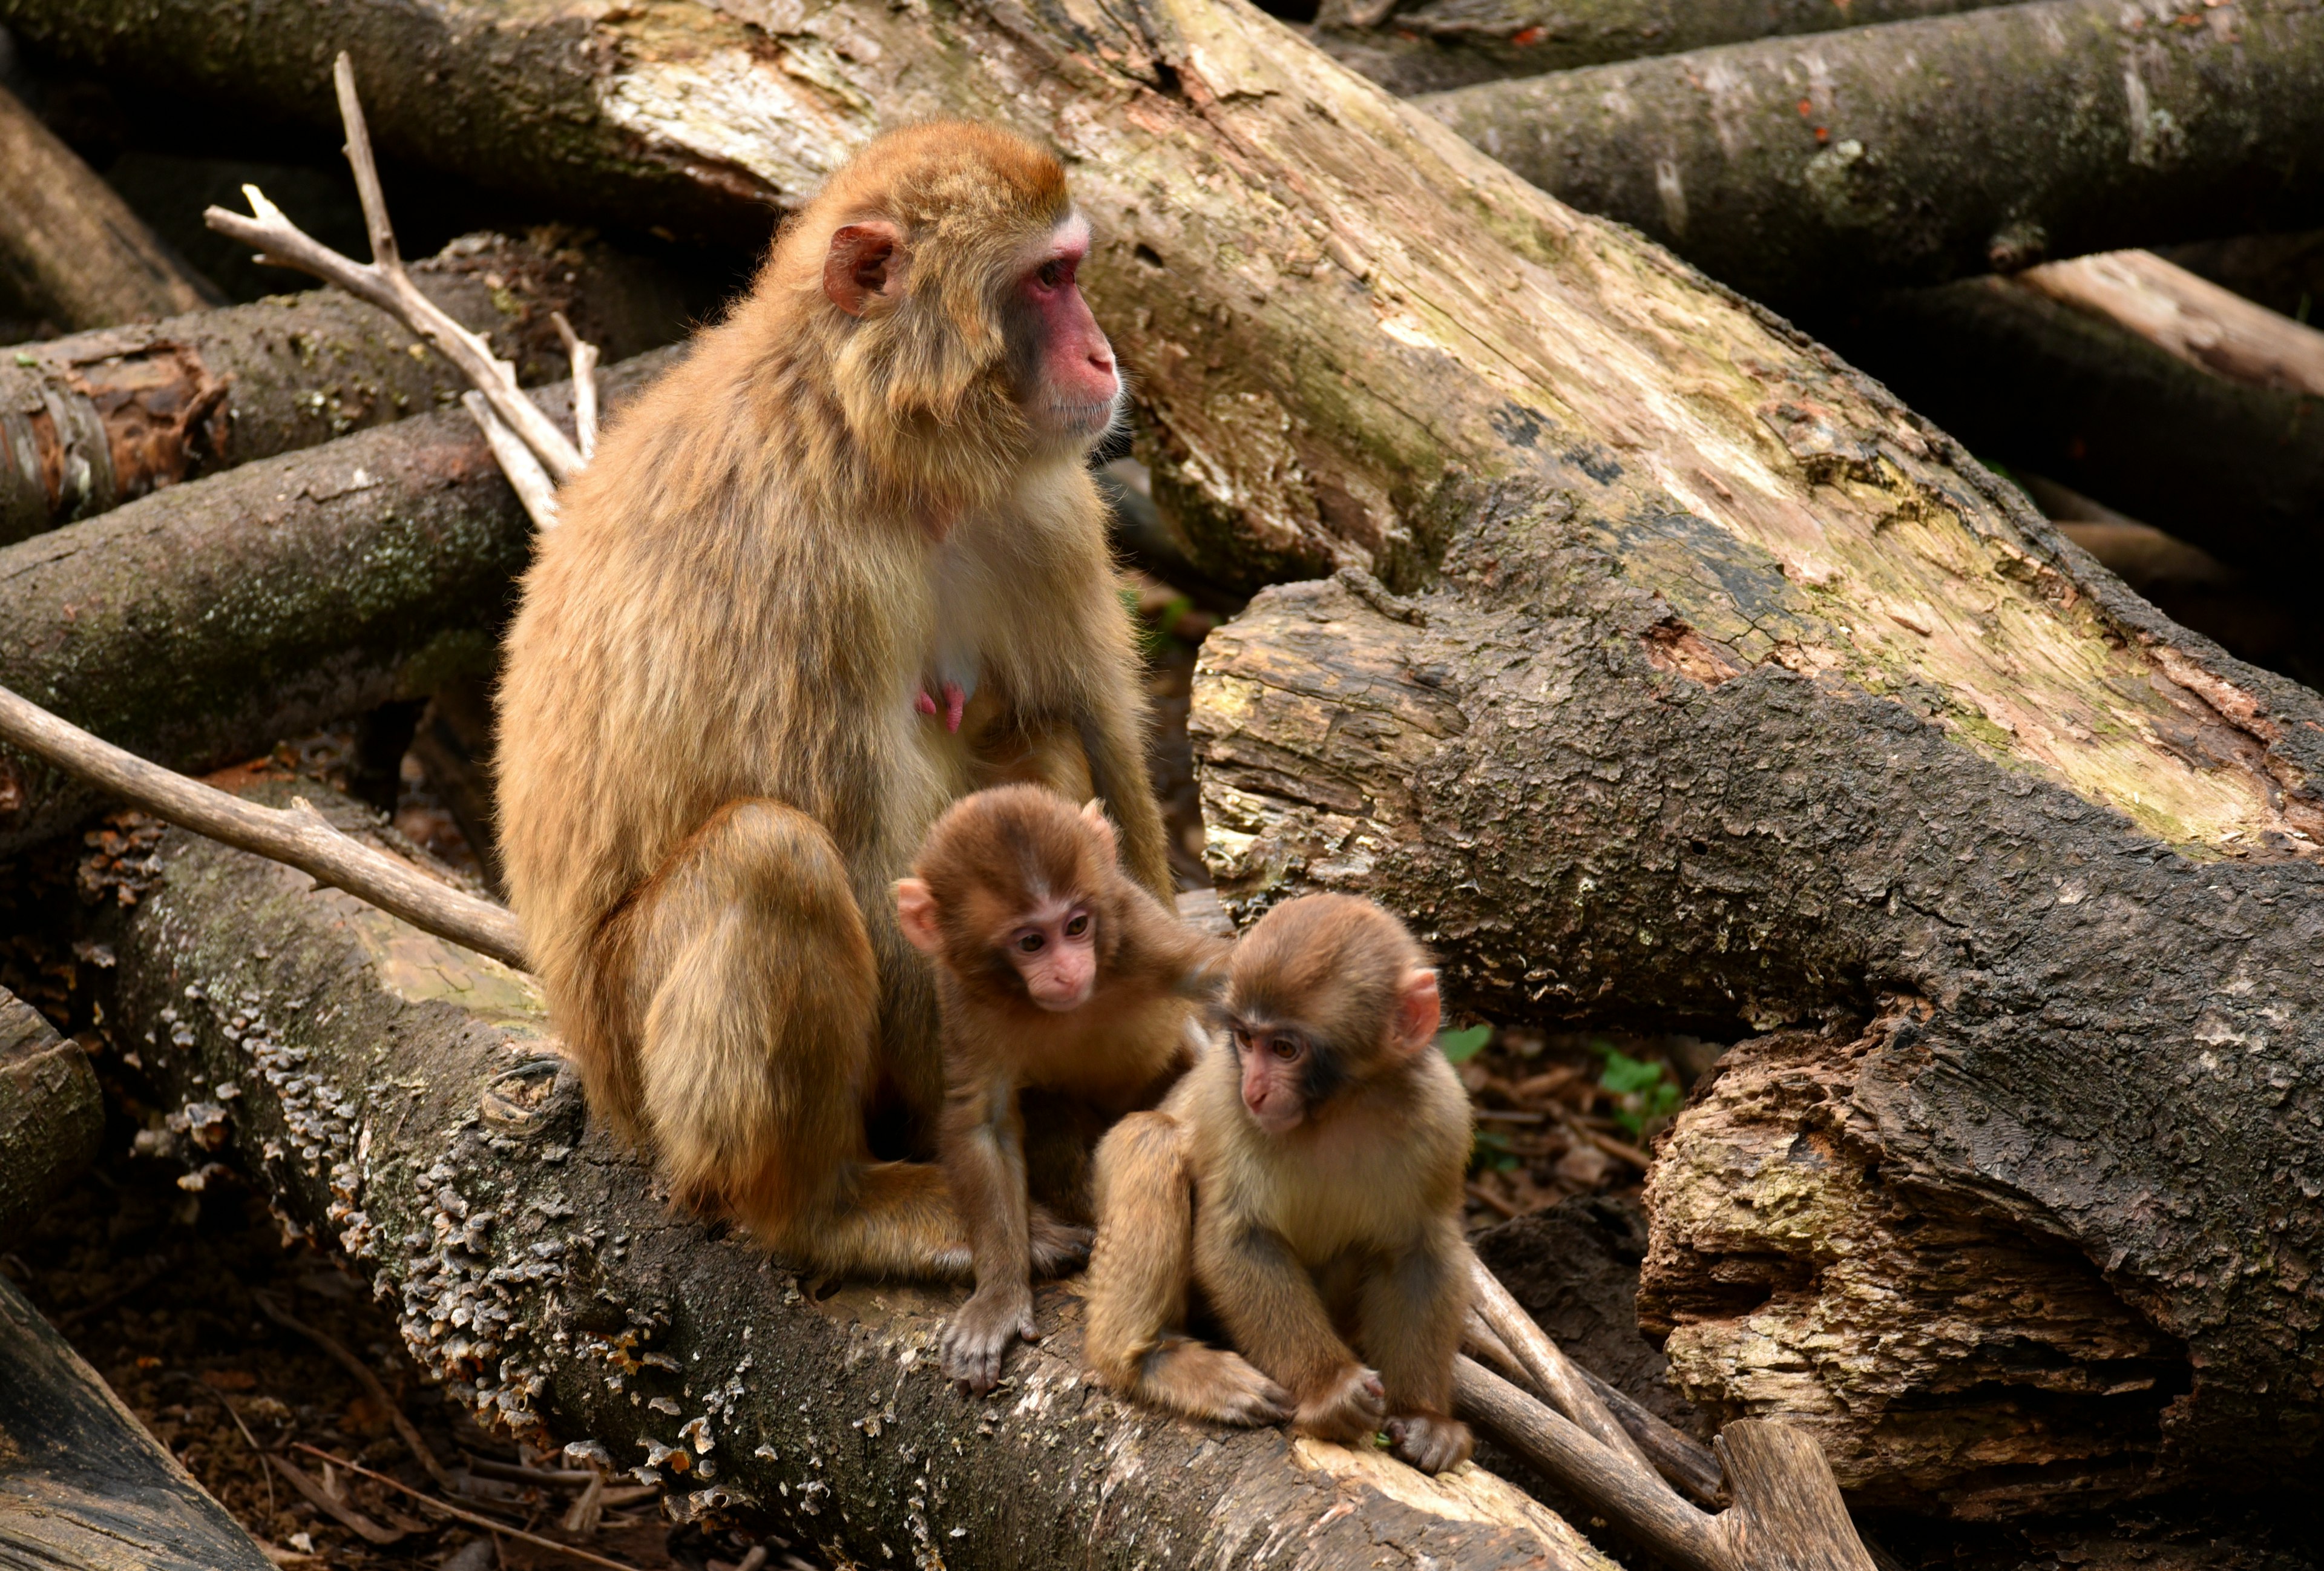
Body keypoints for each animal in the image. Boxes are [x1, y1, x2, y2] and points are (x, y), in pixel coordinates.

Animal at [497, 119, 1171, 1273]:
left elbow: (1101, 741)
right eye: (1048, 282)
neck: (884, 443)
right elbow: (861, 863)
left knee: (1040, 753)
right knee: (773, 859)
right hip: (645, 1074)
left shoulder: (1048, 512)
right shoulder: (798, 567)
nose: (1104, 358)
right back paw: (827, 1210)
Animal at [892, 790, 1236, 1394]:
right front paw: (999, 1297)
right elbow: (982, 1124)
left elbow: (1216, 976)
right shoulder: (965, 999)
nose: (1069, 969)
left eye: (1077, 925)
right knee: (1044, 1104)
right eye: (1032, 941)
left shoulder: (1134, 925)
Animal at [1083, 897, 1468, 1469]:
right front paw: (1330, 1388)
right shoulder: (1226, 1099)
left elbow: (1420, 1250)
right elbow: (1237, 1237)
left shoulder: (1444, 1114)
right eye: (1247, 1040)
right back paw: (1150, 1359)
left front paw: (1425, 1417)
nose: (1256, 1089)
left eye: (1285, 1048)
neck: (1337, 1109)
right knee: (1148, 1136)